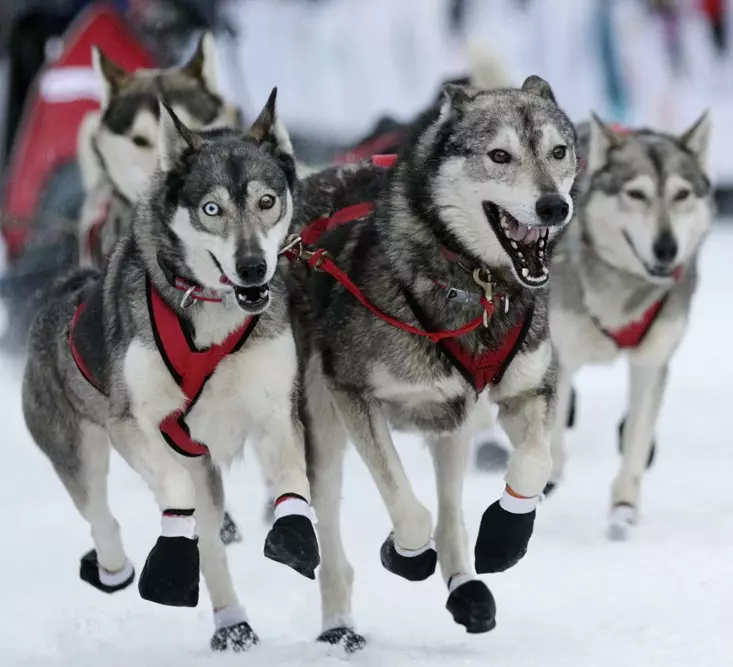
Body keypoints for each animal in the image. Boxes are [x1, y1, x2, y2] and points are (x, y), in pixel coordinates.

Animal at [22, 91, 318, 648]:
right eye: (211, 209)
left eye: (267, 201)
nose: (252, 267)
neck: (213, 315)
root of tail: (65, 289)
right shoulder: (135, 423)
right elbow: (175, 488)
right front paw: (171, 556)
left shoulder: (274, 411)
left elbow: (292, 477)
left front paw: (293, 531)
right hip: (79, 451)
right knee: (105, 517)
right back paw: (119, 566)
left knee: (213, 545)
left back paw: (232, 621)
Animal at [288, 75, 576, 648]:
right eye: (499, 155)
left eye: (559, 151)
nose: (554, 206)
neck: (479, 286)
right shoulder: (352, 394)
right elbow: (406, 506)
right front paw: (402, 554)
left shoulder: (528, 389)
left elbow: (534, 462)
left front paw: (506, 537)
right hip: (324, 425)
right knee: (331, 535)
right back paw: (339, 625)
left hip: (455, 423)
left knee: (449, 512)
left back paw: (466, 587)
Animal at [548, 116, 708, 544]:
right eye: (636, 194)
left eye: (682, 194)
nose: (667, 248)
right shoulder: (557, 356)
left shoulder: (651, 362)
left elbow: (636, 438)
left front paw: (624, 509)